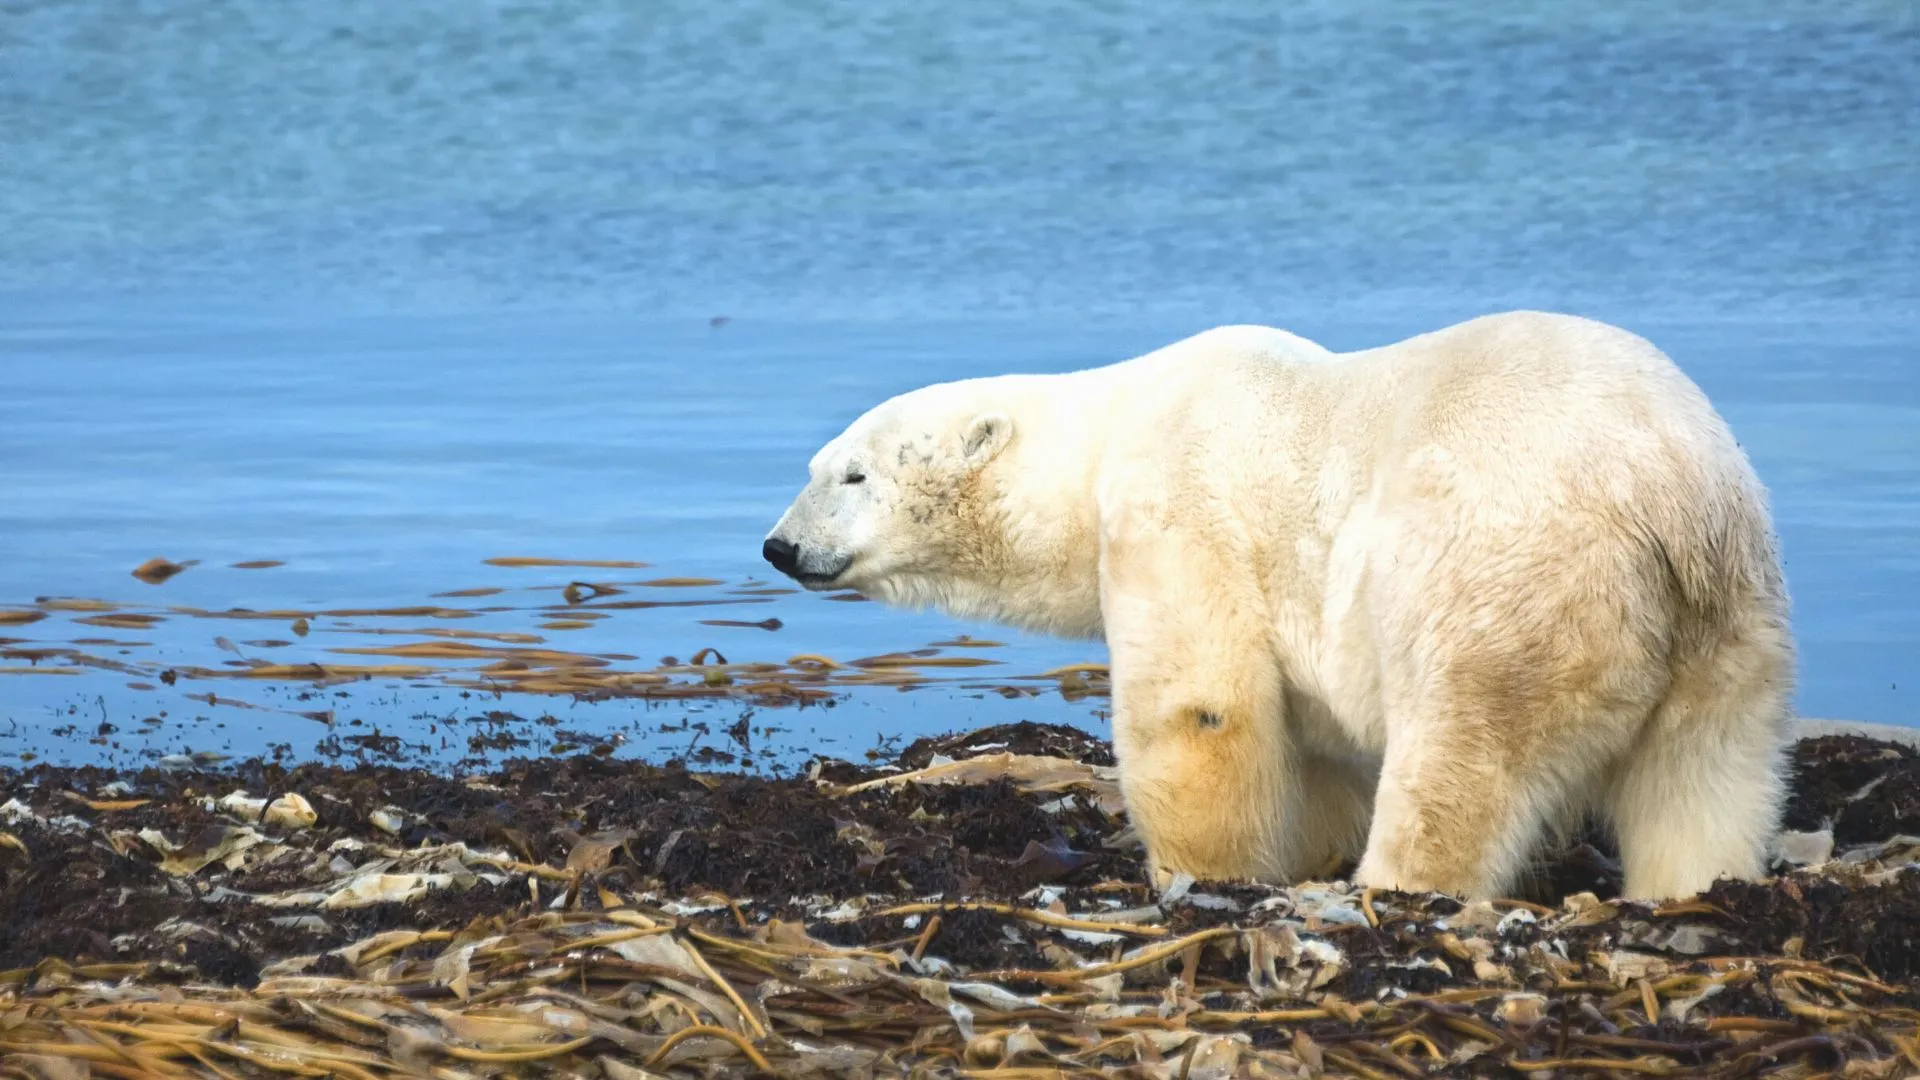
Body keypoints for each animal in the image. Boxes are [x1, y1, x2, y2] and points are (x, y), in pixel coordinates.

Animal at [763, 311, 1794, 901]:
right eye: (816, 467)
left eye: (851, 474)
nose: (779, 547)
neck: (1109, 430)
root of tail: (1668, 497)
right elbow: (1319, 742)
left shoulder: (1180, 505)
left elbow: (1201, 705)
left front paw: (1200, 877)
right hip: (1730, 615)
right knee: (1705, 774)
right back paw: (1695, 889)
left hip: (1505, 573)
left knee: (1463, 755)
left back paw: (1394, 891)